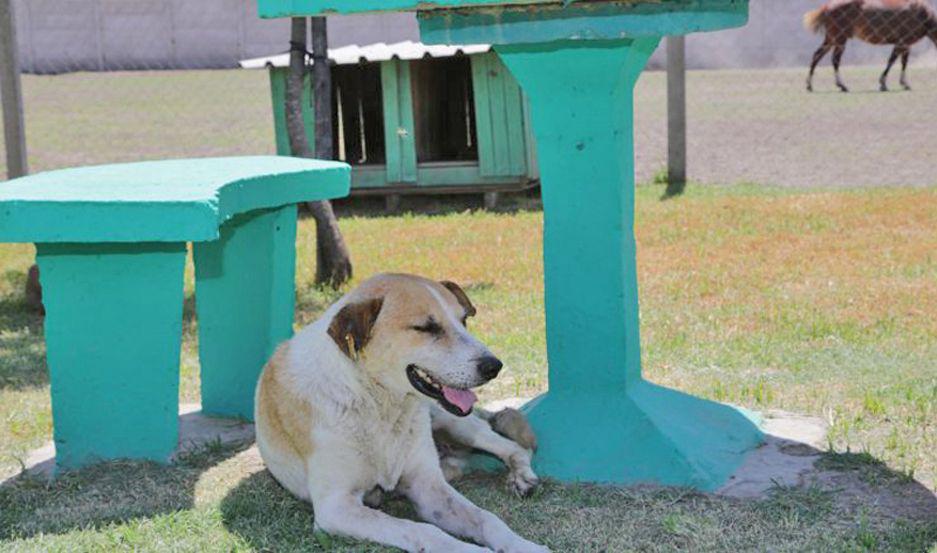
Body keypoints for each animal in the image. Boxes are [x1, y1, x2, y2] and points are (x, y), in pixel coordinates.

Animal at [256, 274, 548, 548]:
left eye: (463, 321)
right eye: (427, 327)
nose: (494, 366)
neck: (378, 402)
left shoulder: (428, 487)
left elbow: (487, 518)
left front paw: (524, 546)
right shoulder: (336, 507)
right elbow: (424, 530)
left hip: (452, 422)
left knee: (515, 447)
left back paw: (521, 477)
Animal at [804, 0, 936, 91]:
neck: (922, 13)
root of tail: (827, 7)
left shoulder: (906, 44)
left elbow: (903, 62)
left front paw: (904, 83)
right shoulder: (902, 42)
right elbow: (892, 61)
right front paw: (883, 83)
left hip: (831, 39)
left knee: (817, 55)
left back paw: (810, 85)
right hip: (840, 40)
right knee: (835, 60)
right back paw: (842, 85)